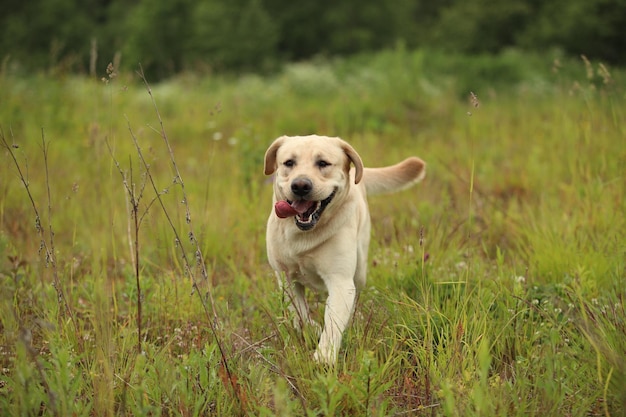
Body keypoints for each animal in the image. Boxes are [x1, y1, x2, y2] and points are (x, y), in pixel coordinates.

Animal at [264, 135, 424, 362]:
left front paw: (324, 357)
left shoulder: (340, 281)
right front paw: (311, 328)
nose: (300, 185)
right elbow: (299, 311)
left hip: (360, 268)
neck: (305, 235)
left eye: (323, 163)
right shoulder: (285, 276)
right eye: (289, 163)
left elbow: (333, 323)